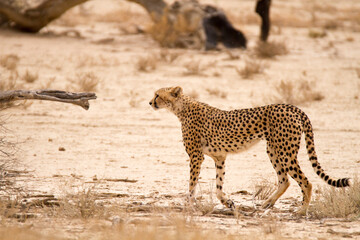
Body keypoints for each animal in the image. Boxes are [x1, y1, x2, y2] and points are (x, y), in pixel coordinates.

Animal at [149, 86, 348, 214]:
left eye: (157, 95)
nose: (150, 102)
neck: (182, 108)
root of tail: (291, 106)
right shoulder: (219, 157)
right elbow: (218, 187)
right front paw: (229, 203)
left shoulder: (196, 156)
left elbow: (192, 184)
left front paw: (188, 204)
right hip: (273, 150)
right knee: (285, 181)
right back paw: (267, 204)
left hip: (285, 152)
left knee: (306, 182)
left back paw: (301, 210)